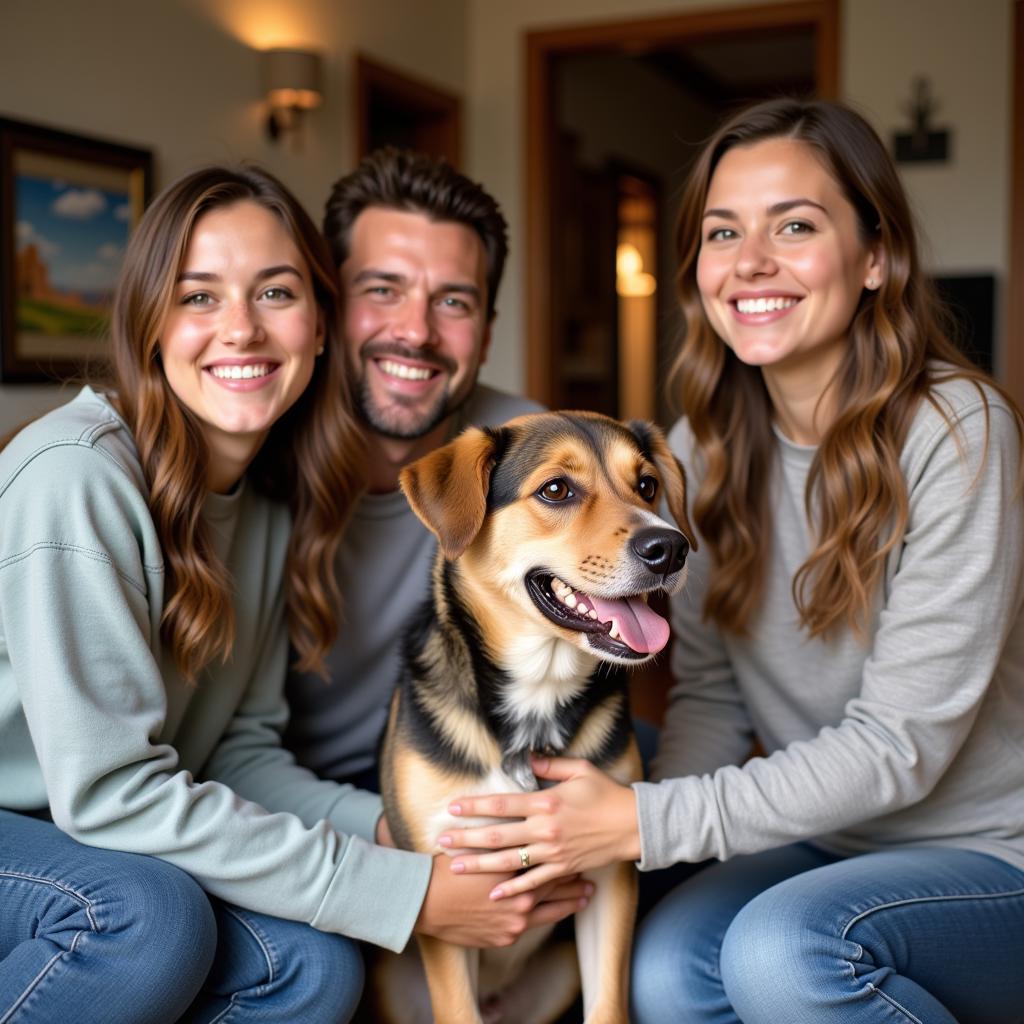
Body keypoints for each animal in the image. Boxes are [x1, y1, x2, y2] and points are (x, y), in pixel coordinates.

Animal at [376, 409, 696, 1024]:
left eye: (647, 485)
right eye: (555, 490)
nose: (671, 548)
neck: (536, 697)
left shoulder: (609, 876)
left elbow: (608, 1007)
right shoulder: (448, 889)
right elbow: (457, 1010)